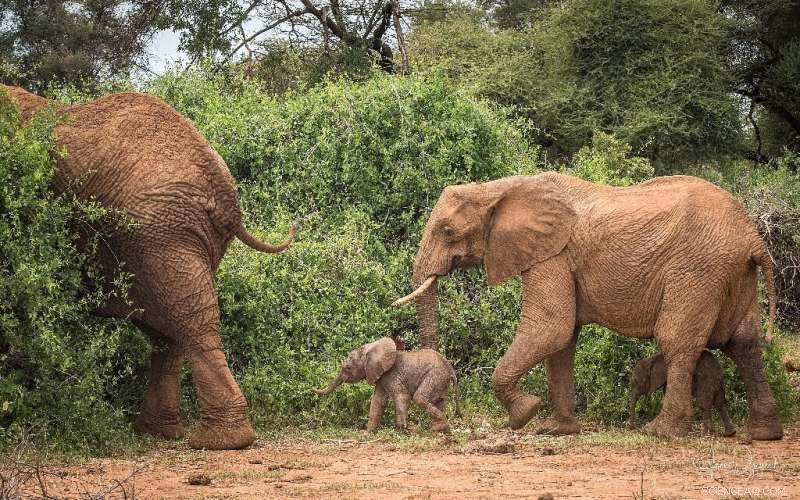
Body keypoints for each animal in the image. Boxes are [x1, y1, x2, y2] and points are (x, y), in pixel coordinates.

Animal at [3, 85, 296, 450]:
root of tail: (225, 193)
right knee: (169, 330)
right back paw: (157, 431)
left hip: (161, 233)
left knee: (189, 321)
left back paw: (218, 441)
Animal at [314, 338, 458, 433]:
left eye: (348, 368)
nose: (312, 389)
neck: (371, 348)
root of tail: (450, 368)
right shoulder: (380, 376)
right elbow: (377, 401)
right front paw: (368, 433)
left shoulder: (391, 374)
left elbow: (402, 396)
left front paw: (403, 430)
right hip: (440, 380)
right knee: (440, 401)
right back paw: (439, 429)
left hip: (435, 375)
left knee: (419, 398)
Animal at [393, 172, 781, 440]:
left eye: (447, 232)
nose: (446, 418)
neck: (502, 188)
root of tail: (753, 238)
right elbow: (562, 341)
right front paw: (556, 429)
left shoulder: (552, 256)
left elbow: (551, 326)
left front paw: (525, 414)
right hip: (734, 274)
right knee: (744, 344)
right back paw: (764, 434)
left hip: (698, 271)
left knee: (678, 342)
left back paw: (660, 432)